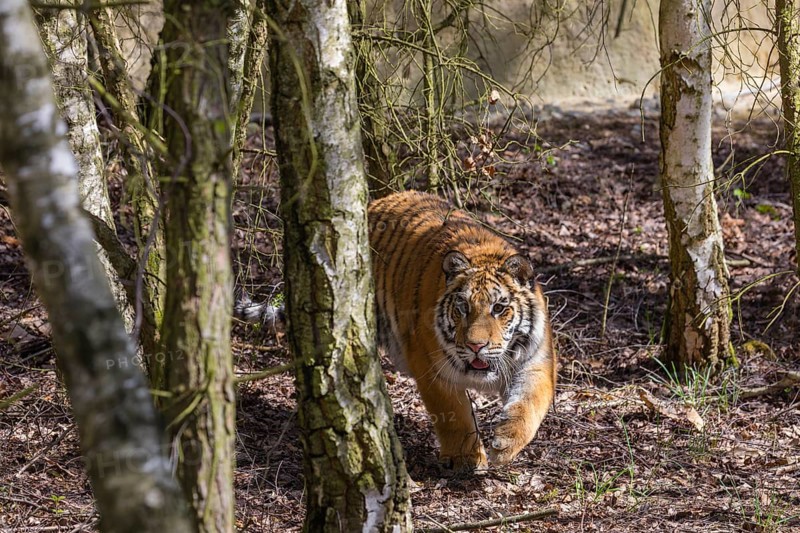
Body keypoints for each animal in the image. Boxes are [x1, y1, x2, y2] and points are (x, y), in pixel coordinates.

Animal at [369, 190, 556, 469]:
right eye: (463, 307)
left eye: (499, 308)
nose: (475, 346)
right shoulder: (432, 368)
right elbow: (455, 415)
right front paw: (467, 459)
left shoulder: (536, 362)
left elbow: (530, 404)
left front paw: (506, 442)